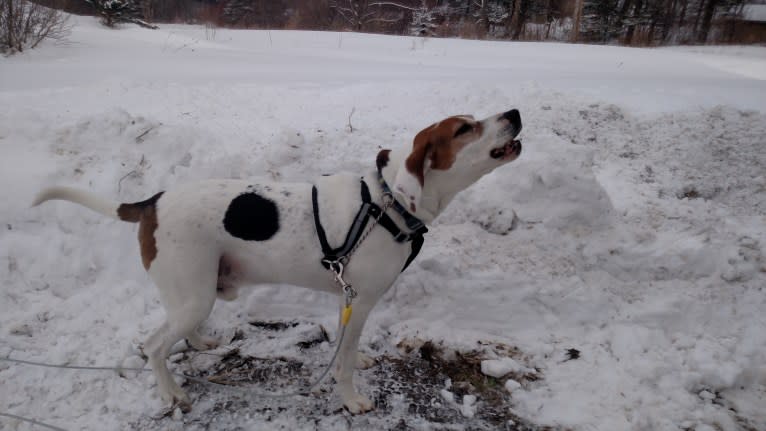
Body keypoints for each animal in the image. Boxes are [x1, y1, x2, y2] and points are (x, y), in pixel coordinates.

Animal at [34, 109, 528, 414]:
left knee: (175, 334)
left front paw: (361, 360)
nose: (514, 113)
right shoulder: (361, 299)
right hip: (193, 296)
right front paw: (351, 399)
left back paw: (201, 343)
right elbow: (343, 363)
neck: (387, 202)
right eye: (464, 129)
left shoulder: (348, 297)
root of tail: (152, 201)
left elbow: (348, 347)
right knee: (153, 346)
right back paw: (172, 394)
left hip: (197, 293)